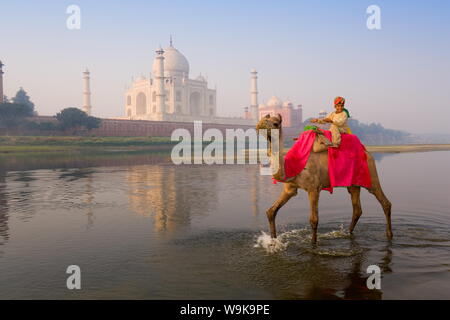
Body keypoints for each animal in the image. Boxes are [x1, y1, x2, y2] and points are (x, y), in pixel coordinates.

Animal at [255, 114, 392, 244]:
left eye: (275, 123)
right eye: (263, 119)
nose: (259, 125)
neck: (293, 165)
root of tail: (367, 152)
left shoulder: (314, 188)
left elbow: (314, 220)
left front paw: (313, 243)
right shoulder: (290, 188)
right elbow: (271, 211)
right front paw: (273, 240)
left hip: (372, 173)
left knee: (384, 202)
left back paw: (389, 235)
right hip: (353, 184)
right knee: (357, 209)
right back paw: (349, 233)